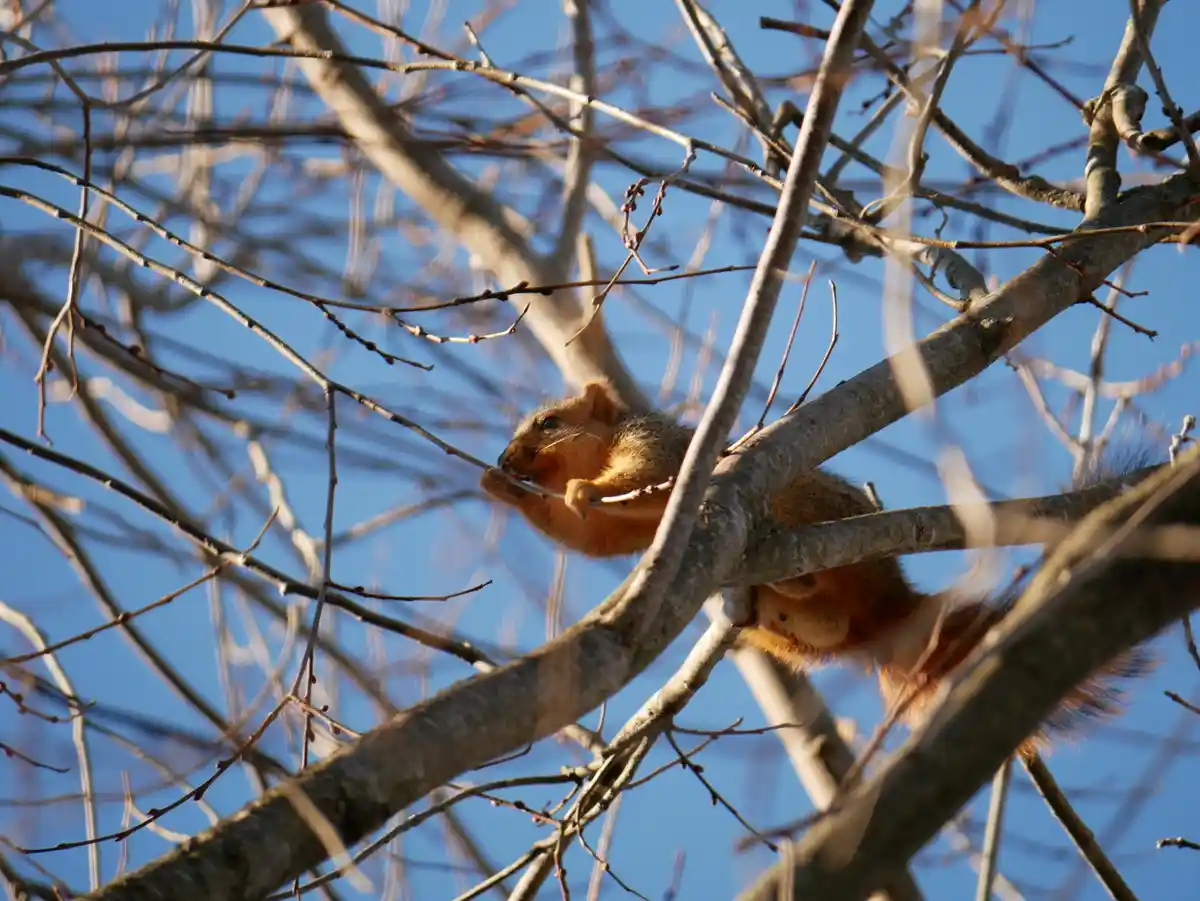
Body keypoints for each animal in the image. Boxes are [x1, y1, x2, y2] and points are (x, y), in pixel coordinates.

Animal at [480, 380, 1151, 758]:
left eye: (548, 422)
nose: (506, 458)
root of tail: (888, 611)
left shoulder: (664, 454)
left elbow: (634, 482)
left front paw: (582, 489)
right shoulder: (626, 530)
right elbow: (595, 539)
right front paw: (502, 490)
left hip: (804, 500)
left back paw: (790, 569)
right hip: (795, 630)